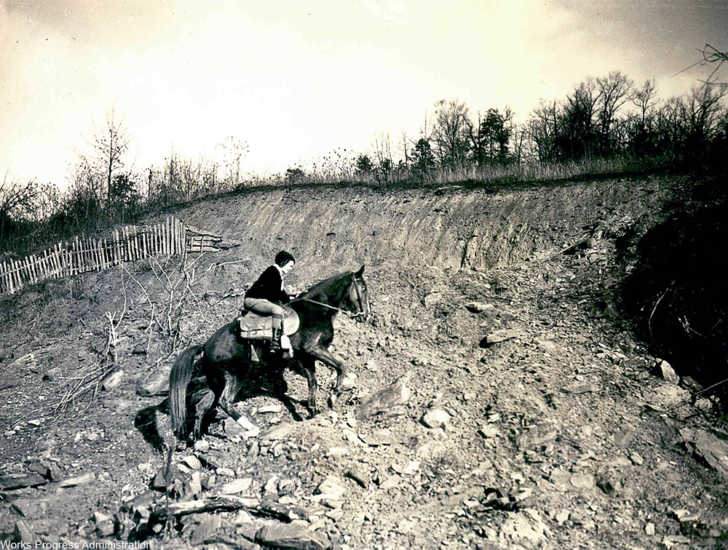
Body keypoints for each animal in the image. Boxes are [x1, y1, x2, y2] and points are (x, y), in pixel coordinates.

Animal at [167, 266, 366, 442]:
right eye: (363, 288)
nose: (366, 315)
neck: (317, 310)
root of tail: (206, 345)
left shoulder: (306, 357)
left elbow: (313, 382)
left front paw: (314, 410)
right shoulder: (314, 349)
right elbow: (341, 366)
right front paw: (334, 395)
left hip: (216, 380)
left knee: (202, 406)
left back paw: (198, 438)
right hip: (236, 374)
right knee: (225, 402)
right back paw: (251, 427)